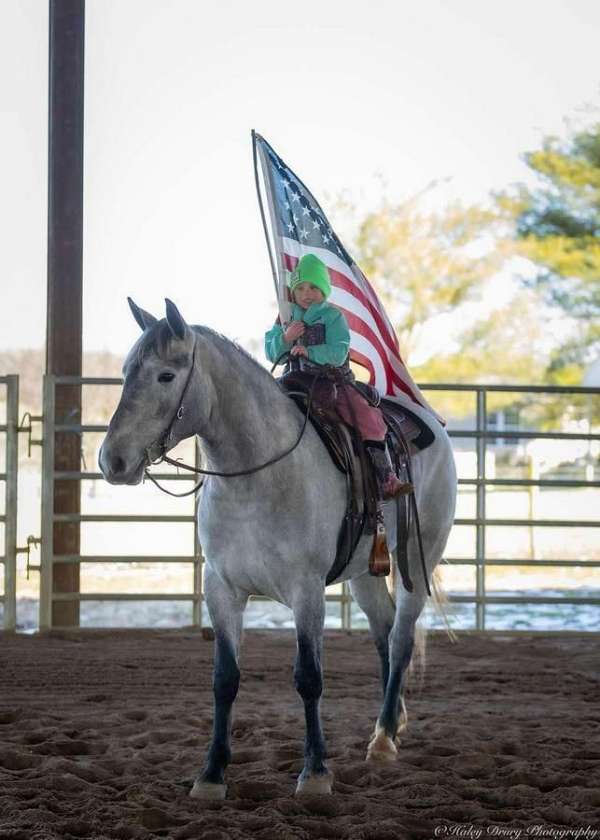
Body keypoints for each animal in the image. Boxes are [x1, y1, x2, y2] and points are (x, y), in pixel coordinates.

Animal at [99, 300, 454, 800]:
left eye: (166, 375)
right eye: (127, 371)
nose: (112, 460)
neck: (256, 475)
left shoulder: (306, 591)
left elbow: (309, 677)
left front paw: (316, 772)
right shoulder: (222, 589)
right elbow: (224, 679)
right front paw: (211, 774)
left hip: (417, 563)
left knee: (402, 638)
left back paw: (384, 738)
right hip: (366, 572)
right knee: (383, 633)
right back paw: (391, 721)